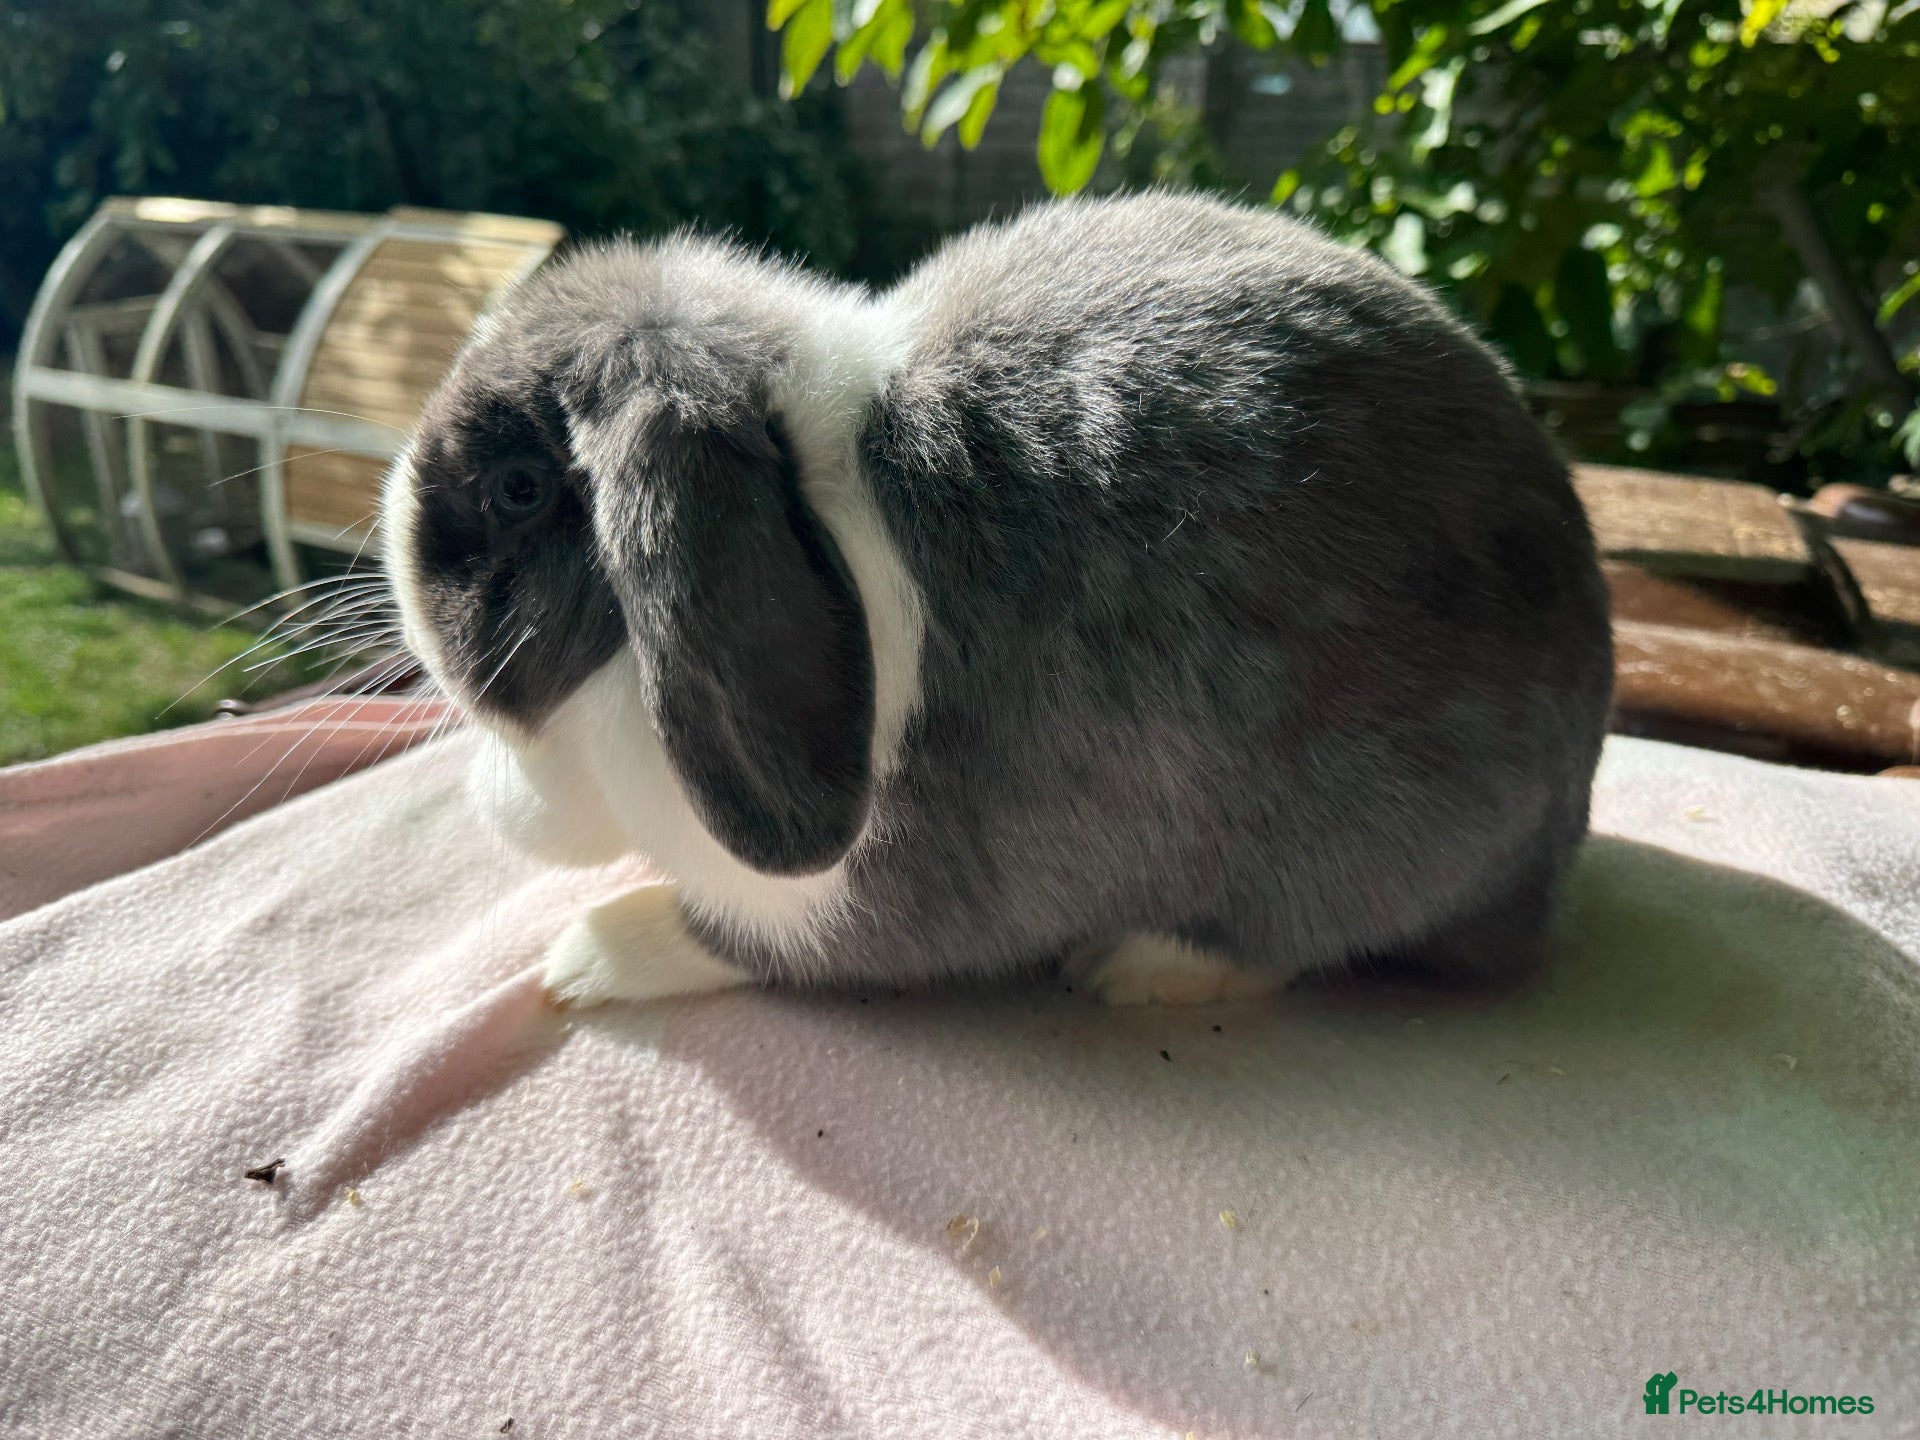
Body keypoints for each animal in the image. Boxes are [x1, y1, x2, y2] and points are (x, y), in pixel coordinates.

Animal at [381, 190, 1614, 1009]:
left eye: (517, 487)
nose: (389, 534)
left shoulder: (840, 913)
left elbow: (723, 938)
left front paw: (581, 963)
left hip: (1356, 858)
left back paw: (1131, 968)